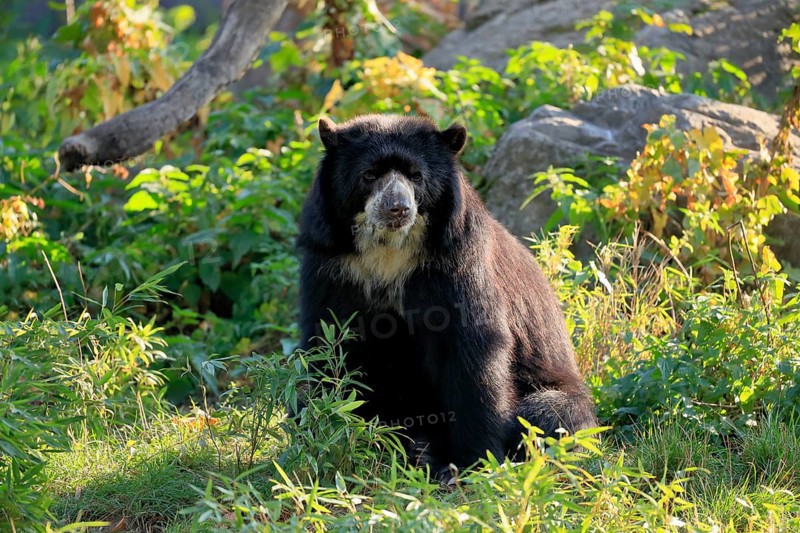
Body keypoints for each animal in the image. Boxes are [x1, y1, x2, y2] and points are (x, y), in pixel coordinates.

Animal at [296, 114, 597, 479]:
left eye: (416, 176)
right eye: (369, 175)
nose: (397, 208)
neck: (389, 253)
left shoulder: (455, 267)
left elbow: (472, 352)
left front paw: (474, 461)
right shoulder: (333, 268)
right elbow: (330, 344)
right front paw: (335, 432)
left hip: (564, 398)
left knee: (547, 415)